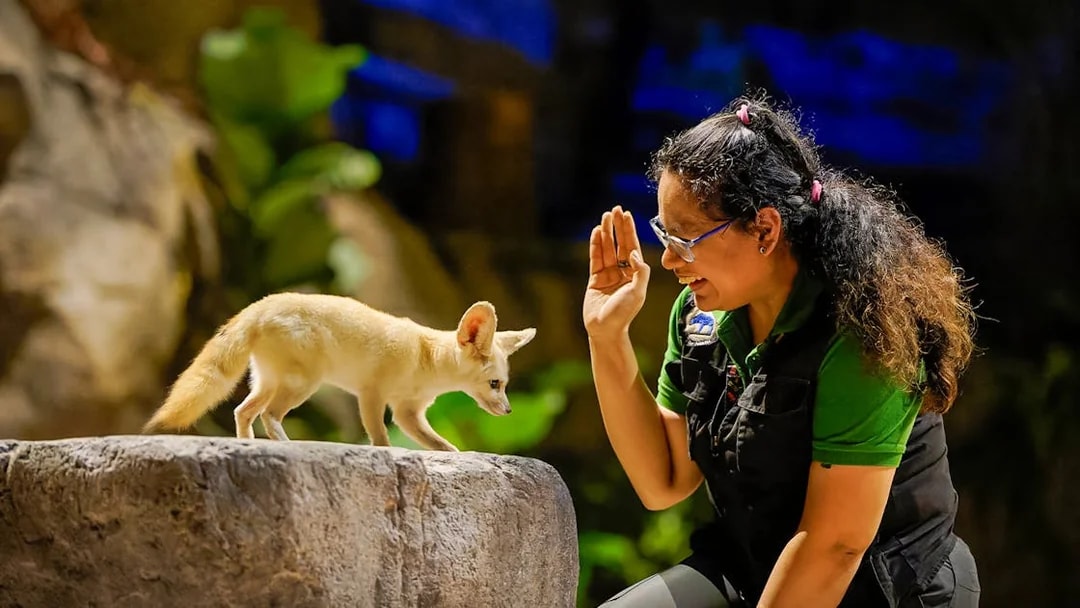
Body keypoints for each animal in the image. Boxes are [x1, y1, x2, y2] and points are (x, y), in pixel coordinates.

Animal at [142, 292, 537, 451]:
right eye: (495, 384)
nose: (509, 411)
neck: (427, 358)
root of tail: (258, 306)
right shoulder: (372, 395)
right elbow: (380, 437)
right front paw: (386, 453)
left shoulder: (409, 412)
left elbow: (438, 442)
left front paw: (453, 453)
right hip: (303, 385)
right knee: (269, 415)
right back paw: (286, 446)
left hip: (269, 383)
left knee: (243, 411)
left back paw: (247, 444)